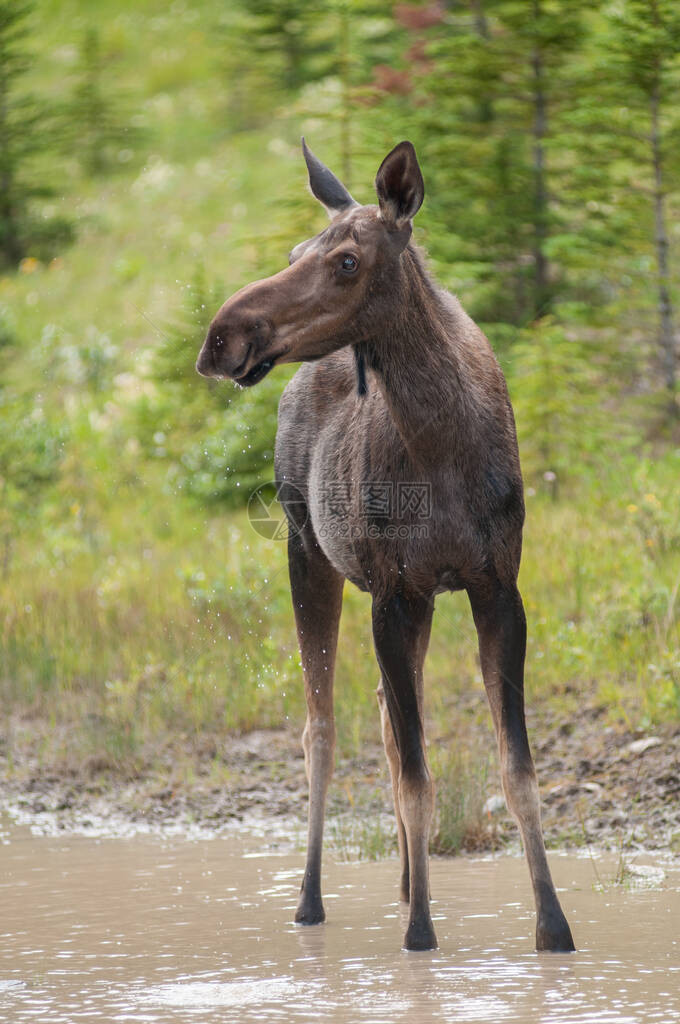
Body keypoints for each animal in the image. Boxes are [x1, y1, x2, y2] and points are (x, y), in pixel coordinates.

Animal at [195, 138, 573, 950]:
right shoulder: (393, 591)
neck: (442, 449)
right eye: (296, 251)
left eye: (346, 260)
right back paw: (313, 901)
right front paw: (421, 937)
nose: (221, 335)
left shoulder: (497, 587)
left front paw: (553, 929)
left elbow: (515, 771)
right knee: (324, 731)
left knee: (383, 718)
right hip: (309, 553)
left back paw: (404, 885)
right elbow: (415, 776)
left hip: (412, 594)